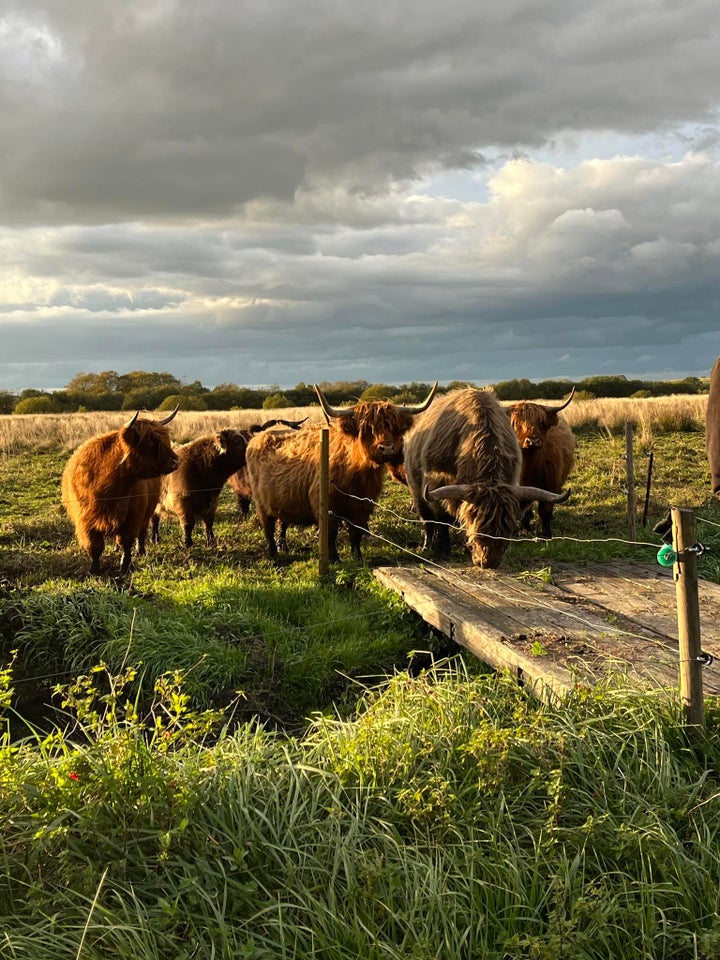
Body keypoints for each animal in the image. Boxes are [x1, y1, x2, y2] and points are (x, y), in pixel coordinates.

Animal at [62, 406, 180, 572]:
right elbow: (95, 546)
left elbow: (126, 541)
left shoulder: (133, 516)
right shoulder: (86, 520)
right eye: (151, 441)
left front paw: (125, 565)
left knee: (142, 532)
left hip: (147, 511)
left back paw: (141, 550)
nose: (176, 461)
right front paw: (94, 569)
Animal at [246, 382, 438, 564]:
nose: (388, 448)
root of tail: (261, 435)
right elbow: (331, 534)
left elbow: (357, 533)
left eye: (393, 427)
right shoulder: (326, 505)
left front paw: (358, 557)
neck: (356, 474)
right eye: (367, 428)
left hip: (280, 499)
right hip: (261, 503)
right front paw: (334, 559)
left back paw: (283, 547)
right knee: (268, 528)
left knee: (282, 522)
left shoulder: (363, 505)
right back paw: (273, 553)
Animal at [404, 388, 568, 568]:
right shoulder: (435, 486)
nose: (489, 561)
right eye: (474, 519)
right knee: (427, 521)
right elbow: (442, 520)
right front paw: (443, 549)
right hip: (417, 490)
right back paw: (427, 546)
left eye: (508, 525)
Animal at [510, 390, 576, 540]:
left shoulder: (551, 483)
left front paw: (546, 534)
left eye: (541, 423)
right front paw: (525, 528)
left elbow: (545, 509)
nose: (533, 441)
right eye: (516, 423)